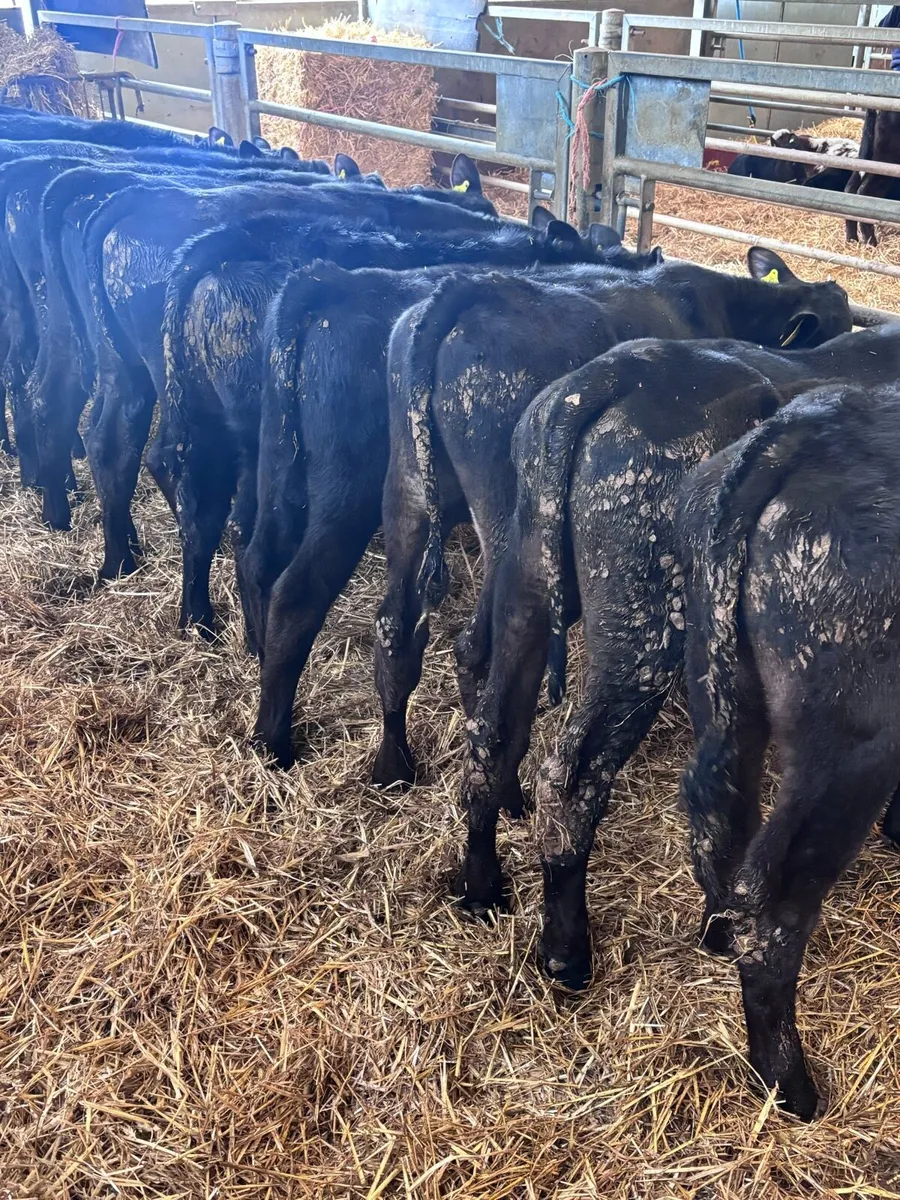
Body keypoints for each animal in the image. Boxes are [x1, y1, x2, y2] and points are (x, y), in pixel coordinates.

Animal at [370, 249, 852, 818]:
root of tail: (470, 290)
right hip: (504, 518)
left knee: (396, 627)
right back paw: (506, 797)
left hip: (406, 489)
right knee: (475, 649)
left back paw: (394, 768)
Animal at [677, 378, 900, 1120]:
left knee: (721, 830)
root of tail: (804, 432)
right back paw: (792, 1090)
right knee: (773, 914)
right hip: (852, 749)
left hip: (719, 687)